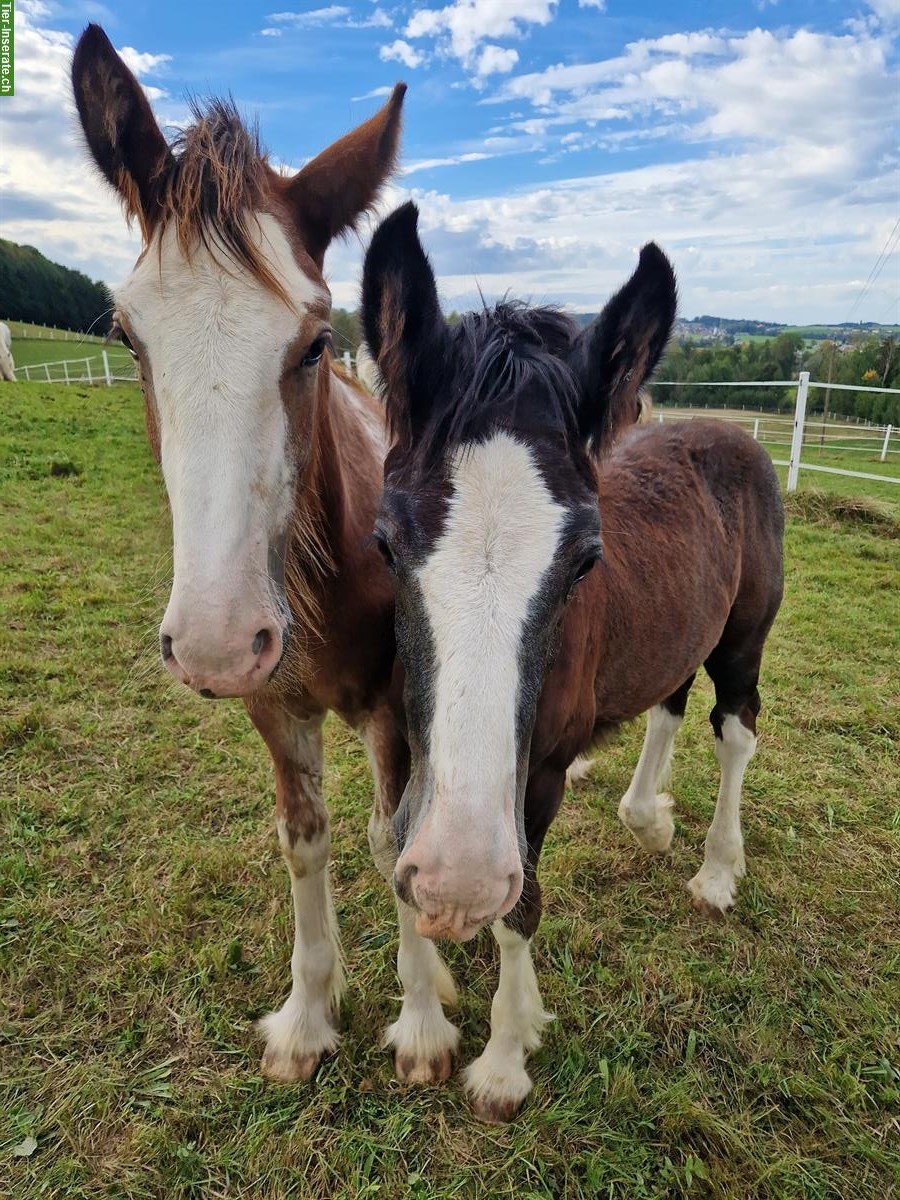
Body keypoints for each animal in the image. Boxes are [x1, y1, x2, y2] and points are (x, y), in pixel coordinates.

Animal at [70, 28, 465, 1094]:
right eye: (128, 337)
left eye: (316, 340)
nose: (213, 642)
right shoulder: (273, 705)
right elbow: (305, 838)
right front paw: (307, 1016)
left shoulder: (391, 705)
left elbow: (393, 840)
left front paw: (421, 1023)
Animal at [362, 199, 787, 1123]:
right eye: (383, 542)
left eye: (586, 561)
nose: (458, 882)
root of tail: (728, 432)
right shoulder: (406, 740)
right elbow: (396, 847)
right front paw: (422, 1025)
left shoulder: (539, 773)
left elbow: (522, 906)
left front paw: (504, 1058)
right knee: (669, 700)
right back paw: (646, 814)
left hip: (744, 638)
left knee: (735, 728)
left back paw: (716, 869)